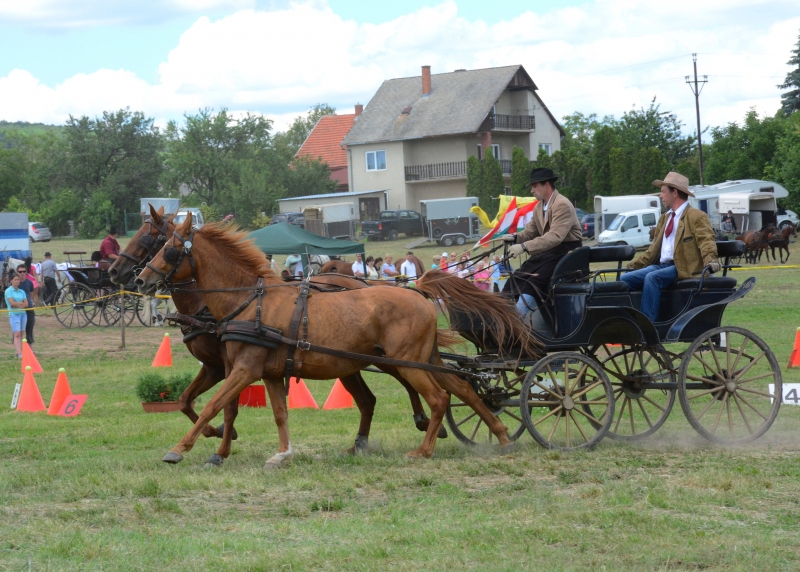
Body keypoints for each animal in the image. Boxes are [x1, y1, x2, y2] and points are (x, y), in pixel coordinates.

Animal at [138, 217, 536, 466]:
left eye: (167, 249)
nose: (141, 279)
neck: (251, 301)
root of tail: (417, 291)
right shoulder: (267, 372)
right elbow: (279, 413)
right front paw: (282, 454)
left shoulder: (244, 369)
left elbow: (212, 405)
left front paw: (180, 449)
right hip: (426, 358)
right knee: (463, 389)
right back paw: (501, 435)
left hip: (406, 362)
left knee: (439, 398)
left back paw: (424, 450)